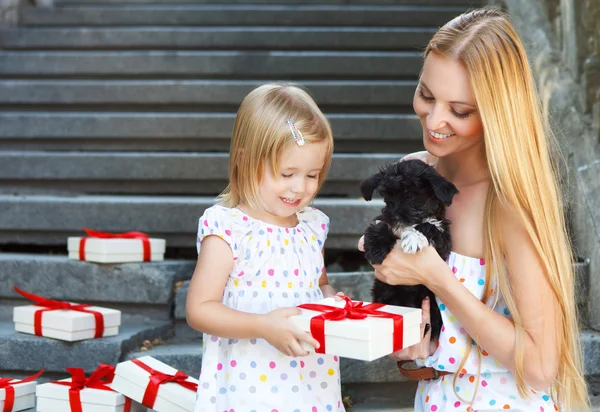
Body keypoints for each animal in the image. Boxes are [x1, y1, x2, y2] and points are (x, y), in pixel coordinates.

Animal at [360, 159, 460, 340]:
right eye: (388, 196)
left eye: (412, 196)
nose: (394, 215)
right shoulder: (384, 220)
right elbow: (379, 225)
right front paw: (376, 249)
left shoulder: (444, 242)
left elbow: (429, 226)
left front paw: (414, 237)